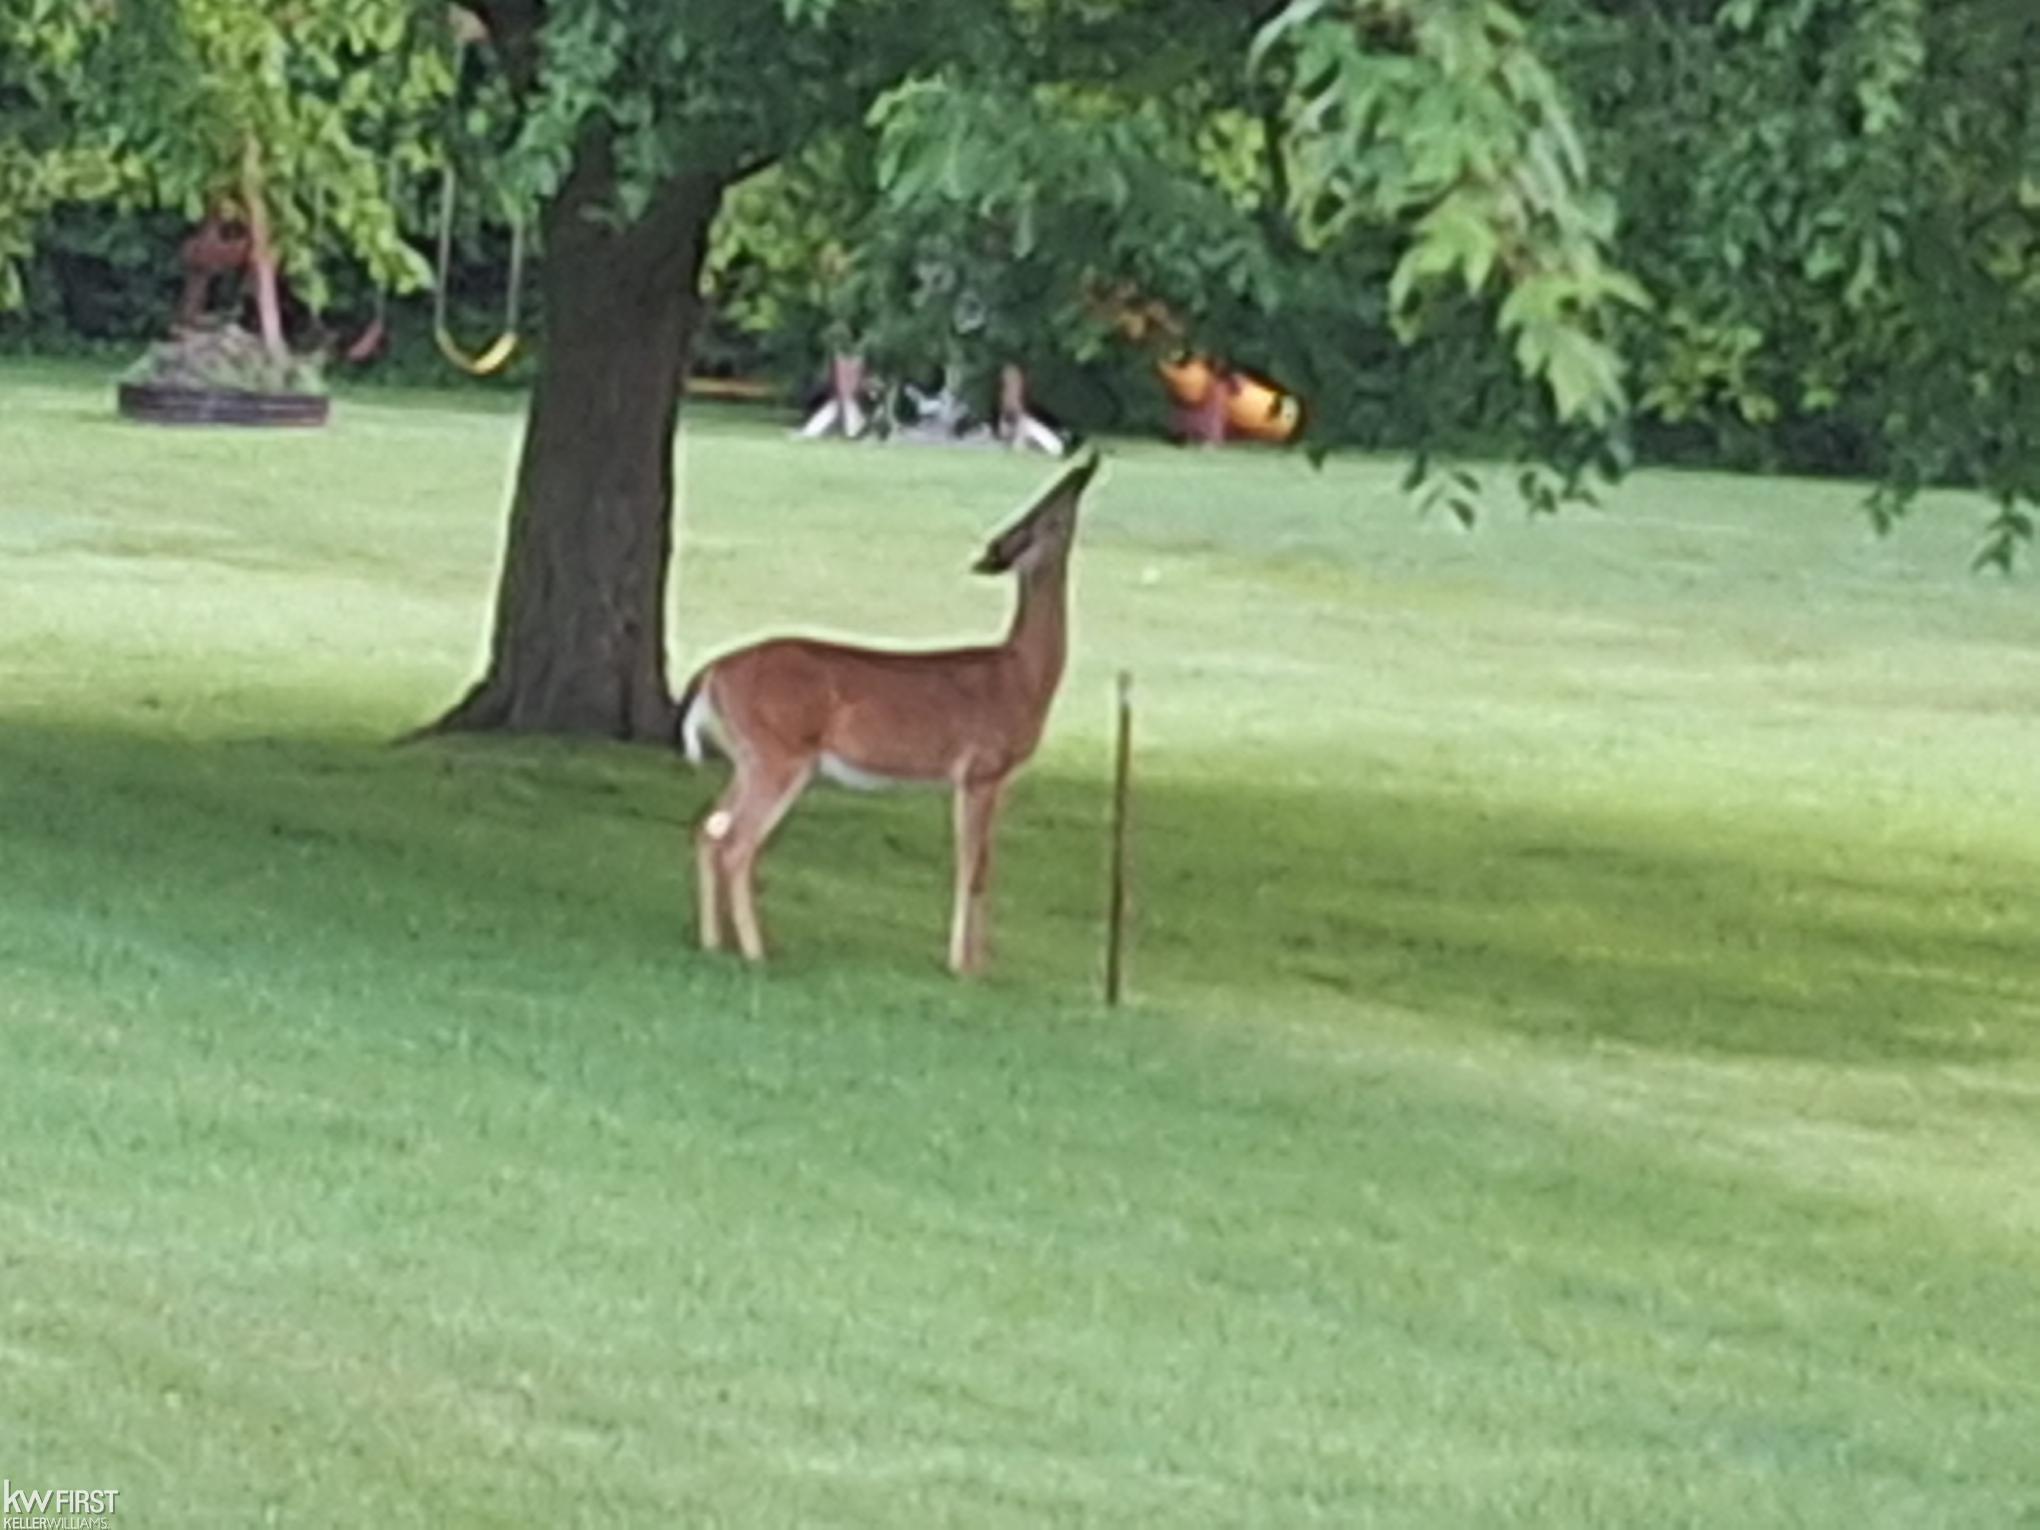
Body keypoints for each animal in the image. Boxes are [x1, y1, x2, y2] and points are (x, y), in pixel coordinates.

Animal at [677, 454, 1101, 975]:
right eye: (1050, 509)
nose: (1086, 464)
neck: (1022, 675)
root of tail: (710, 673)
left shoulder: (1000, 780)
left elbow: (987, 864)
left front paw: (981, 965)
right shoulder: (981, 768)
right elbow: (972, 867)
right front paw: (962, 969)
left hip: (748, 756)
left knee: (708, 829)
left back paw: (713, 943)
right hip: (780, 752)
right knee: (737, 843)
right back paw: (758, 953)